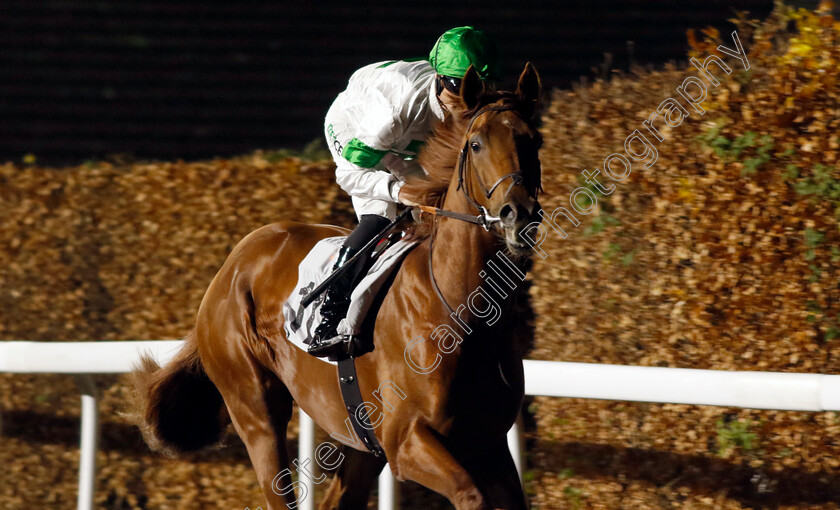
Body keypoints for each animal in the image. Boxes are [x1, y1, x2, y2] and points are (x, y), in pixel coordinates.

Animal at [125, 63, 544, 510]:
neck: (462, 312)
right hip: (254, 407)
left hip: (362, 437)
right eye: (477, 144)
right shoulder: (406, 441)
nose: (519, 214)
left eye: (533, 140)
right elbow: (471, 495)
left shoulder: (487, 444)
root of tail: (232, 264)